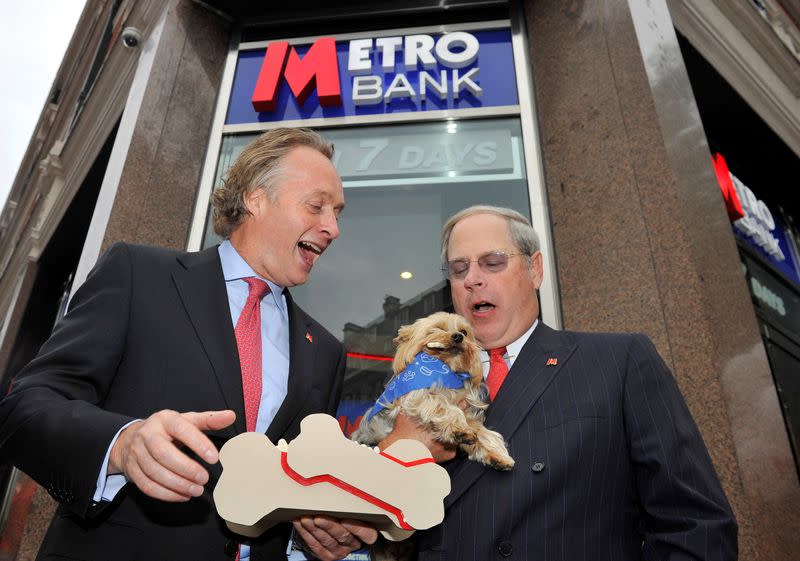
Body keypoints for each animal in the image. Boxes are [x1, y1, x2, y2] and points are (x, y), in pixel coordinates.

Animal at [354, 312, 516, 470]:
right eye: (438, 328)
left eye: (464, 332)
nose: (458, 336)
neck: (446, 368)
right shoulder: (417, 396)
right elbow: (443, 404)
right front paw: (459, 428)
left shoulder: (467, 413)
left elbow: (479, 429)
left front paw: (496, 453)